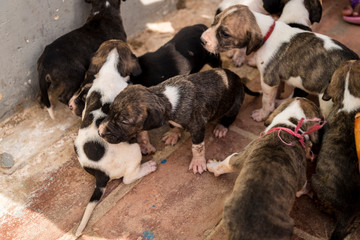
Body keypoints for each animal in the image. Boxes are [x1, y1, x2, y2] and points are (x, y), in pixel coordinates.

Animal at [201, 2, 358, 121]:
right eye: (214, 20)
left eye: (225, 33)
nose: (202, 40)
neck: (267, 32)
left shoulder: (268, 81)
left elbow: (266, 100)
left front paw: (262, 114)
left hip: (327, 101)